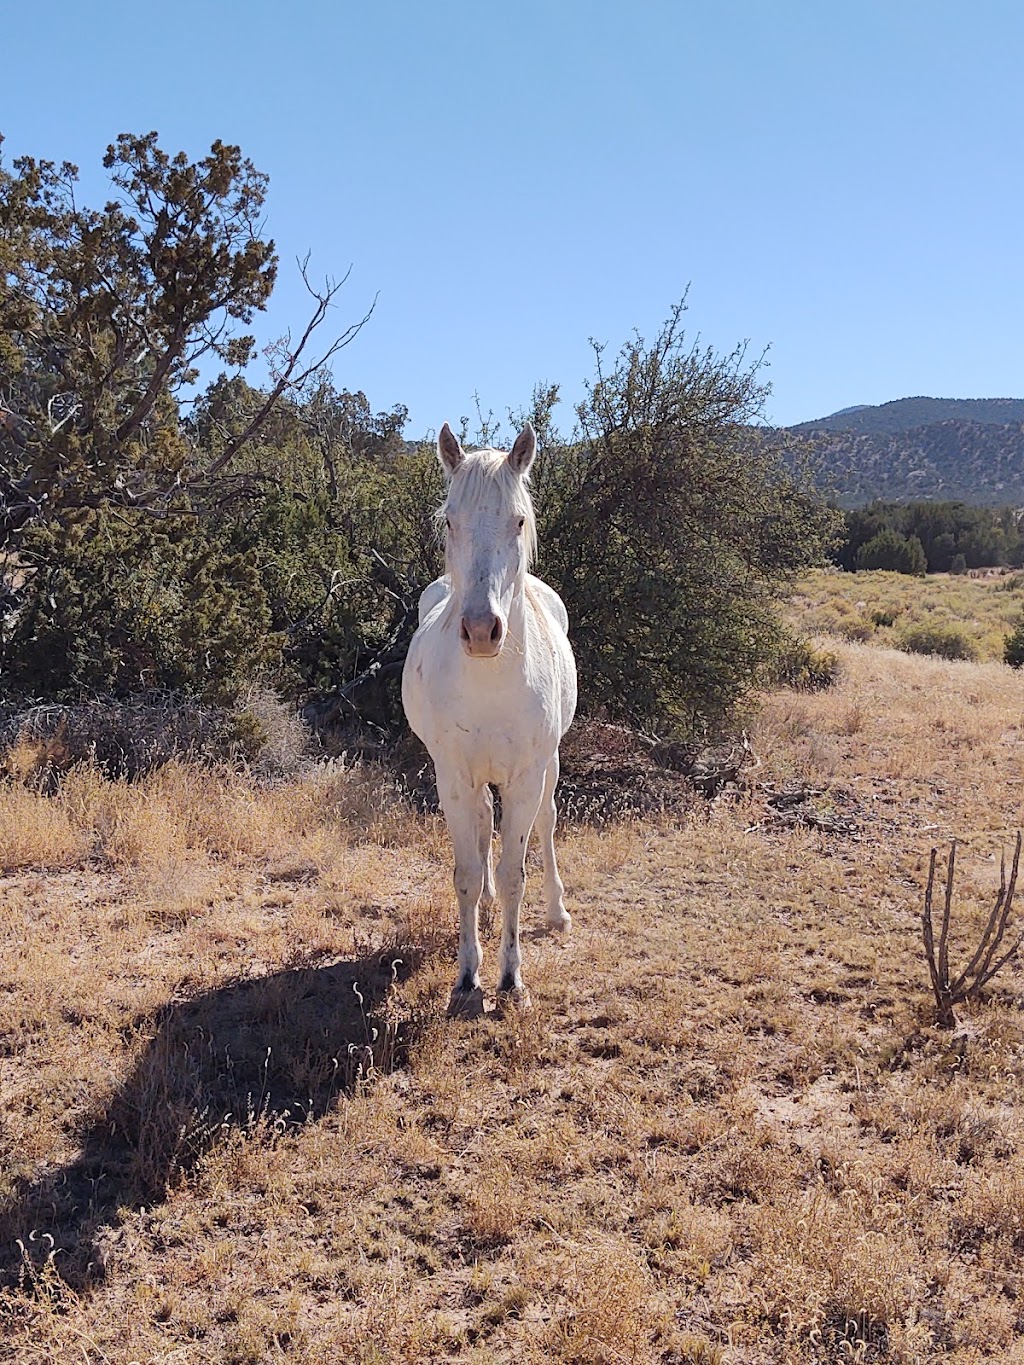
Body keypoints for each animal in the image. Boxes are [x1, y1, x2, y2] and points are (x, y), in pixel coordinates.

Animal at [401, 423, 578, 1015]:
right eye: (449, 520)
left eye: (518, 520)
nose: (481, 631)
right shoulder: (453, 777)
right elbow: (468, 872)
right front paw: (467, 975)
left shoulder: (525, 776)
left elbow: (514, 870)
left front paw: (510, 977)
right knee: (482, 826)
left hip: (548, 765)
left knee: (545, 825)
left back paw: (557, 911)